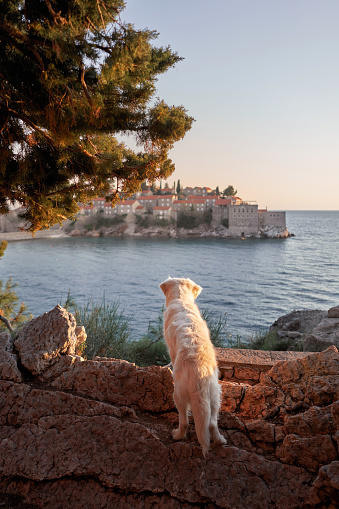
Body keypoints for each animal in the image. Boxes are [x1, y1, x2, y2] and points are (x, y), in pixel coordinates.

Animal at [161, 276, 227, 454]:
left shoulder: (172, 350)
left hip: (178, 392)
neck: (182, 300)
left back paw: (177, 435)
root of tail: (199, 370)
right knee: (211, 424)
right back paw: (220, 440)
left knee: (184, 421)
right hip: (215, 394)